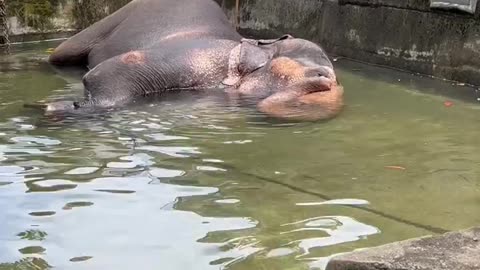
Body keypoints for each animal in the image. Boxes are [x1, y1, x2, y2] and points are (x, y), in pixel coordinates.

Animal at [38, 0, 344, 121]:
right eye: (321, 74)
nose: (326, 83)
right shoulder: (199, 56)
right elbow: (106, 73)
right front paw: (56, 108)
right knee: (60, 55)